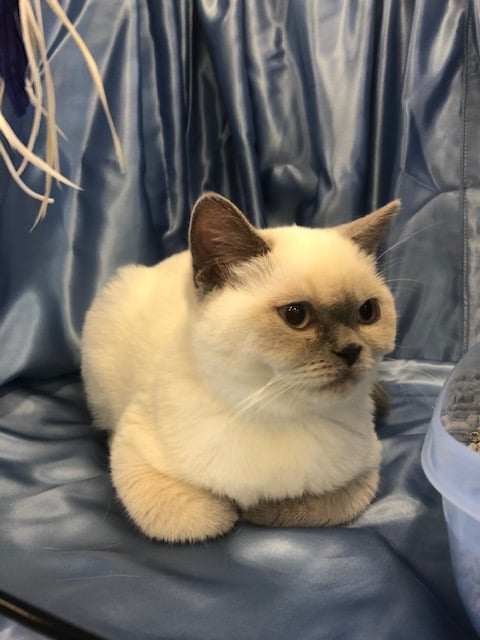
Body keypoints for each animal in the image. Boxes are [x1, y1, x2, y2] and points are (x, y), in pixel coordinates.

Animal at [81, 192, 398, 544]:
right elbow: (210, 518)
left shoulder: (366, 471)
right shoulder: (137, 457)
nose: (351, 351)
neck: (274, 410)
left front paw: (257, 509)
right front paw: (234, 509)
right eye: (296, 315)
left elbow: (307, 507)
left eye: (368, 312)